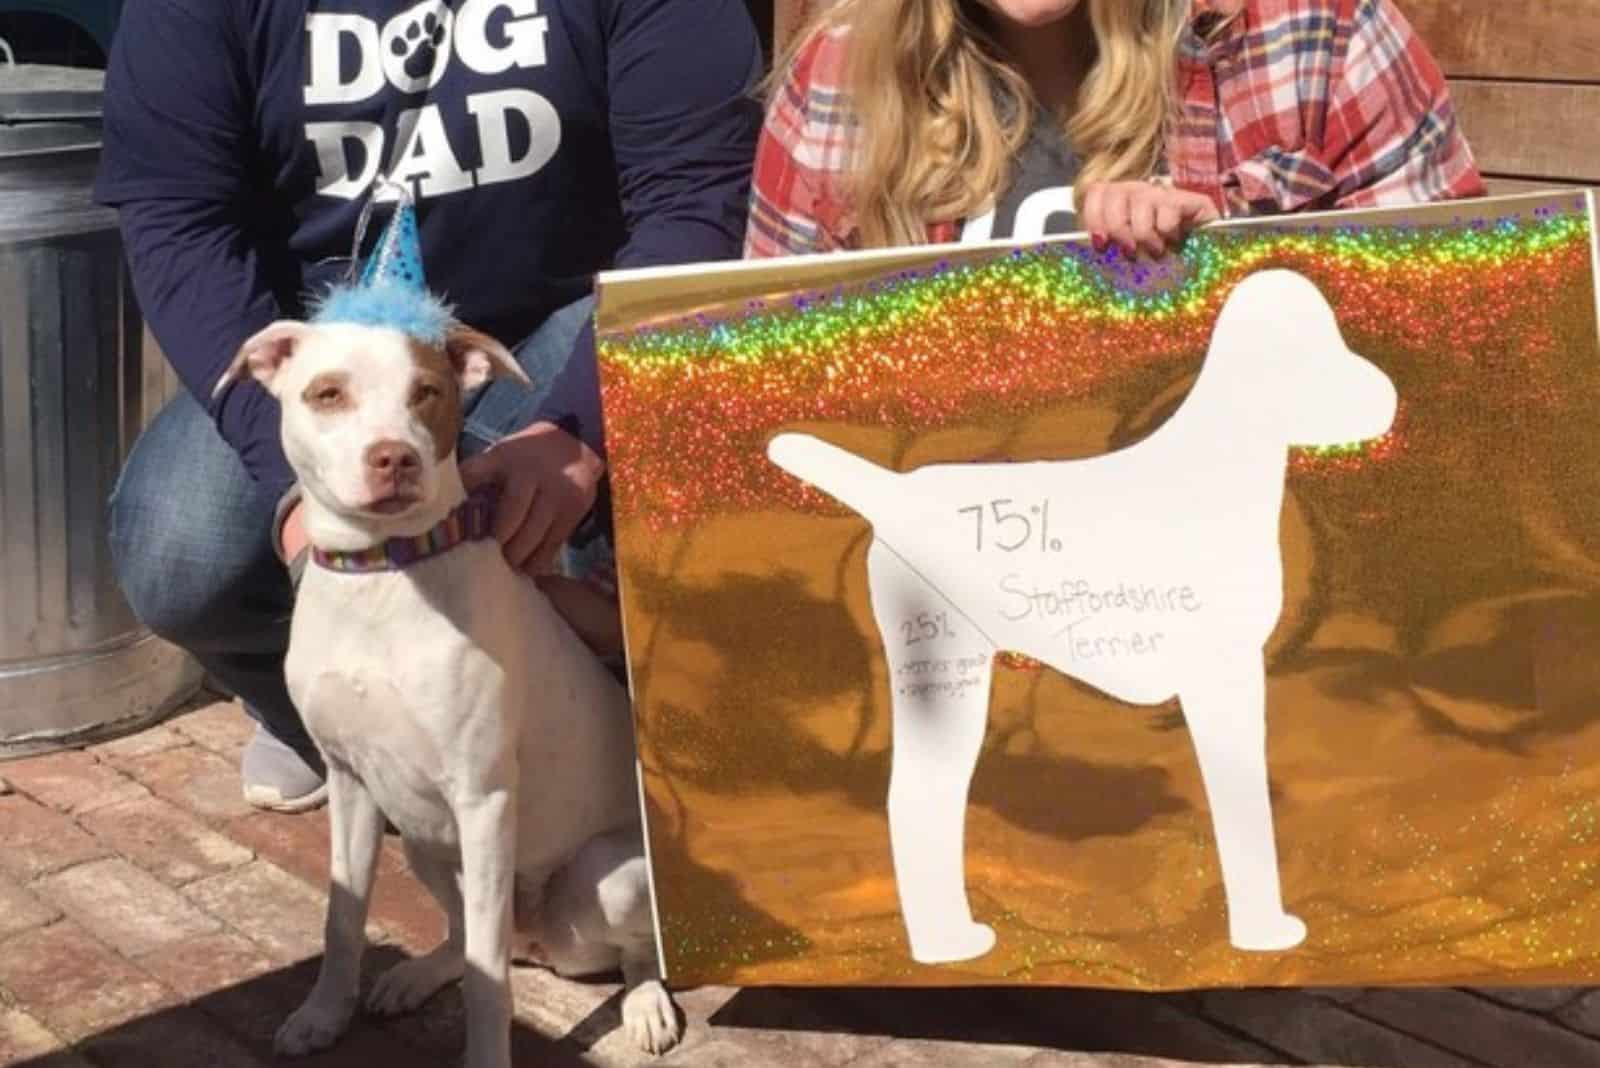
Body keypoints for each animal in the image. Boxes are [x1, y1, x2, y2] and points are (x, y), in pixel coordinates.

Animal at [216, 308, 678, 1068]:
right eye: (328, 394)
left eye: (427, 393)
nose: (394, 458)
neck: (384, 574)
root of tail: (540, 946)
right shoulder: (351, 780)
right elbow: (343, 918)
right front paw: (323, 1016)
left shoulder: (483, 800)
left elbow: (488, 984)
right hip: (420, 840)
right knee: (465, 937)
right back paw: (415, 976)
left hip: (610, 876)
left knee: (623, 953)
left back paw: (645, 1006)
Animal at [768, 271, 1395, 965]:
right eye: (1313, 347)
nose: (1390, 394)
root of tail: (896, 496)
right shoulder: (1224, 676)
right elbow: (1243, 806)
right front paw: (1263, 932)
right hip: (941, 669)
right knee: (915, 800)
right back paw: (946, 946)